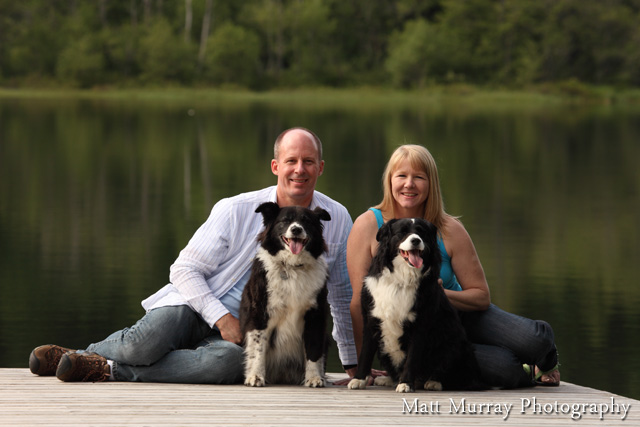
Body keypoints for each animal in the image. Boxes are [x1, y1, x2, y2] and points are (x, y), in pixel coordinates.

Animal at [239, 202, 330, 386]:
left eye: (306, 221)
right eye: (285, 221)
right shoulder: (260, 313)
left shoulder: (315, 316)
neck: (293, 267)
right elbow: (258, 348)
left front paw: (314, 378)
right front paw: (255, 376)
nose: (296, 229)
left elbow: (313, 349)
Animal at [348, 219, 482, 392]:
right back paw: (388, 379)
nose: (416, 241)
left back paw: (433, 382)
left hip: (455, 345)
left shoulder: (419, 325)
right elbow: (365, 353)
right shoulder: (372, 320)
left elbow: (411, 359)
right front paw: (358, 379)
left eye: (421, 232)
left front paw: (405, 383)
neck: (401, 280)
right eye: (403, 232)